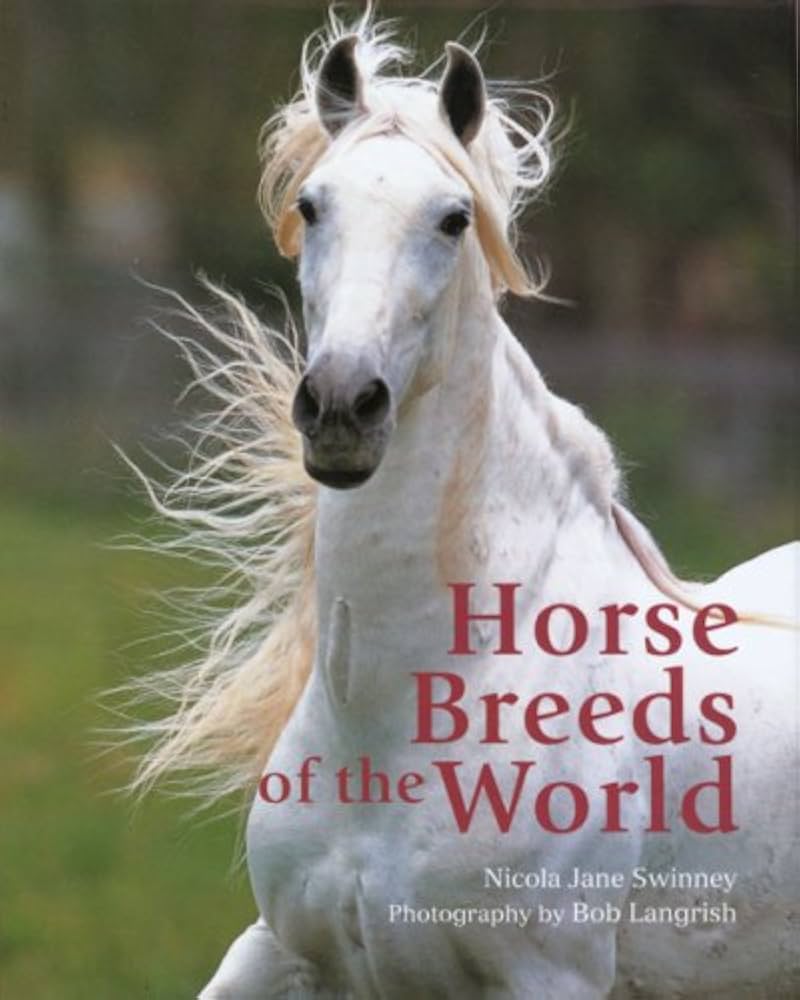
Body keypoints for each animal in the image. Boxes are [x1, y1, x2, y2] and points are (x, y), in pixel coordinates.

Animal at [122, 12, 798, 999]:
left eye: (452, 218)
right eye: (313, 205)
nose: (340, 407)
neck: (391, 725)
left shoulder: (547, 976)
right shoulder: (278, 948)